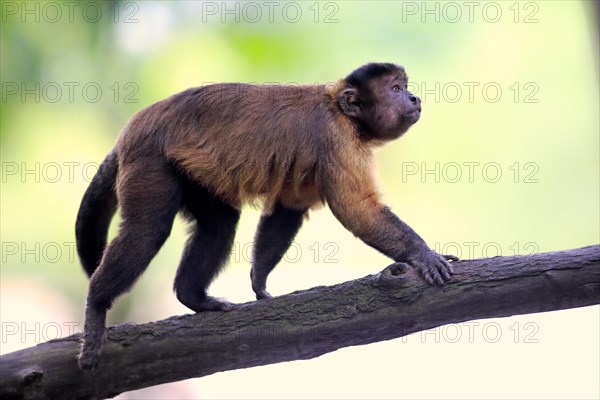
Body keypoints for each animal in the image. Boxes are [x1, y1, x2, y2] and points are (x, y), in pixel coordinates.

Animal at [77, 61, 458, 370]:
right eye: (395, 89)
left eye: (405, 86)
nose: (414, 98)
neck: (342, 110)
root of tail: (133, 128)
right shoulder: (337, 139)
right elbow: (357, 211)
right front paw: (423, 254)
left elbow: (288, 207)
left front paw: (259, 283)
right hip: (150, 159)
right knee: (148, 231)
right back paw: (97, 302)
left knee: (219, 224)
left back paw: (193, 297)